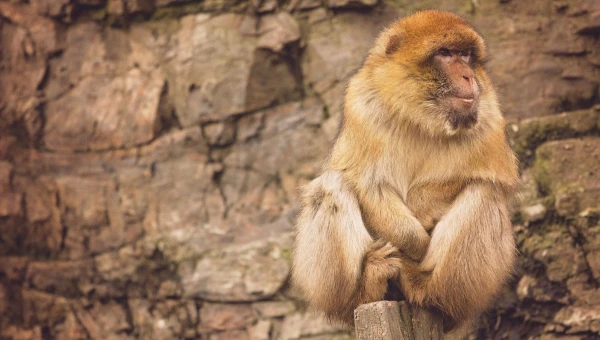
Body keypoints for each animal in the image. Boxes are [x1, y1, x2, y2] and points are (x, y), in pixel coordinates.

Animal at [292, 9, 516, 334]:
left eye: (465, 55)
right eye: (445, 54)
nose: (469, 76)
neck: (420, 116)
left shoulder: (488, 112)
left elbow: (488, 178)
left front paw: (422, 211)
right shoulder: (362, 104)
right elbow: (367, 183)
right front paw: (414, 239)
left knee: (484, 191)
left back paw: (429, 290)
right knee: (331, 185)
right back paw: (366, 287)